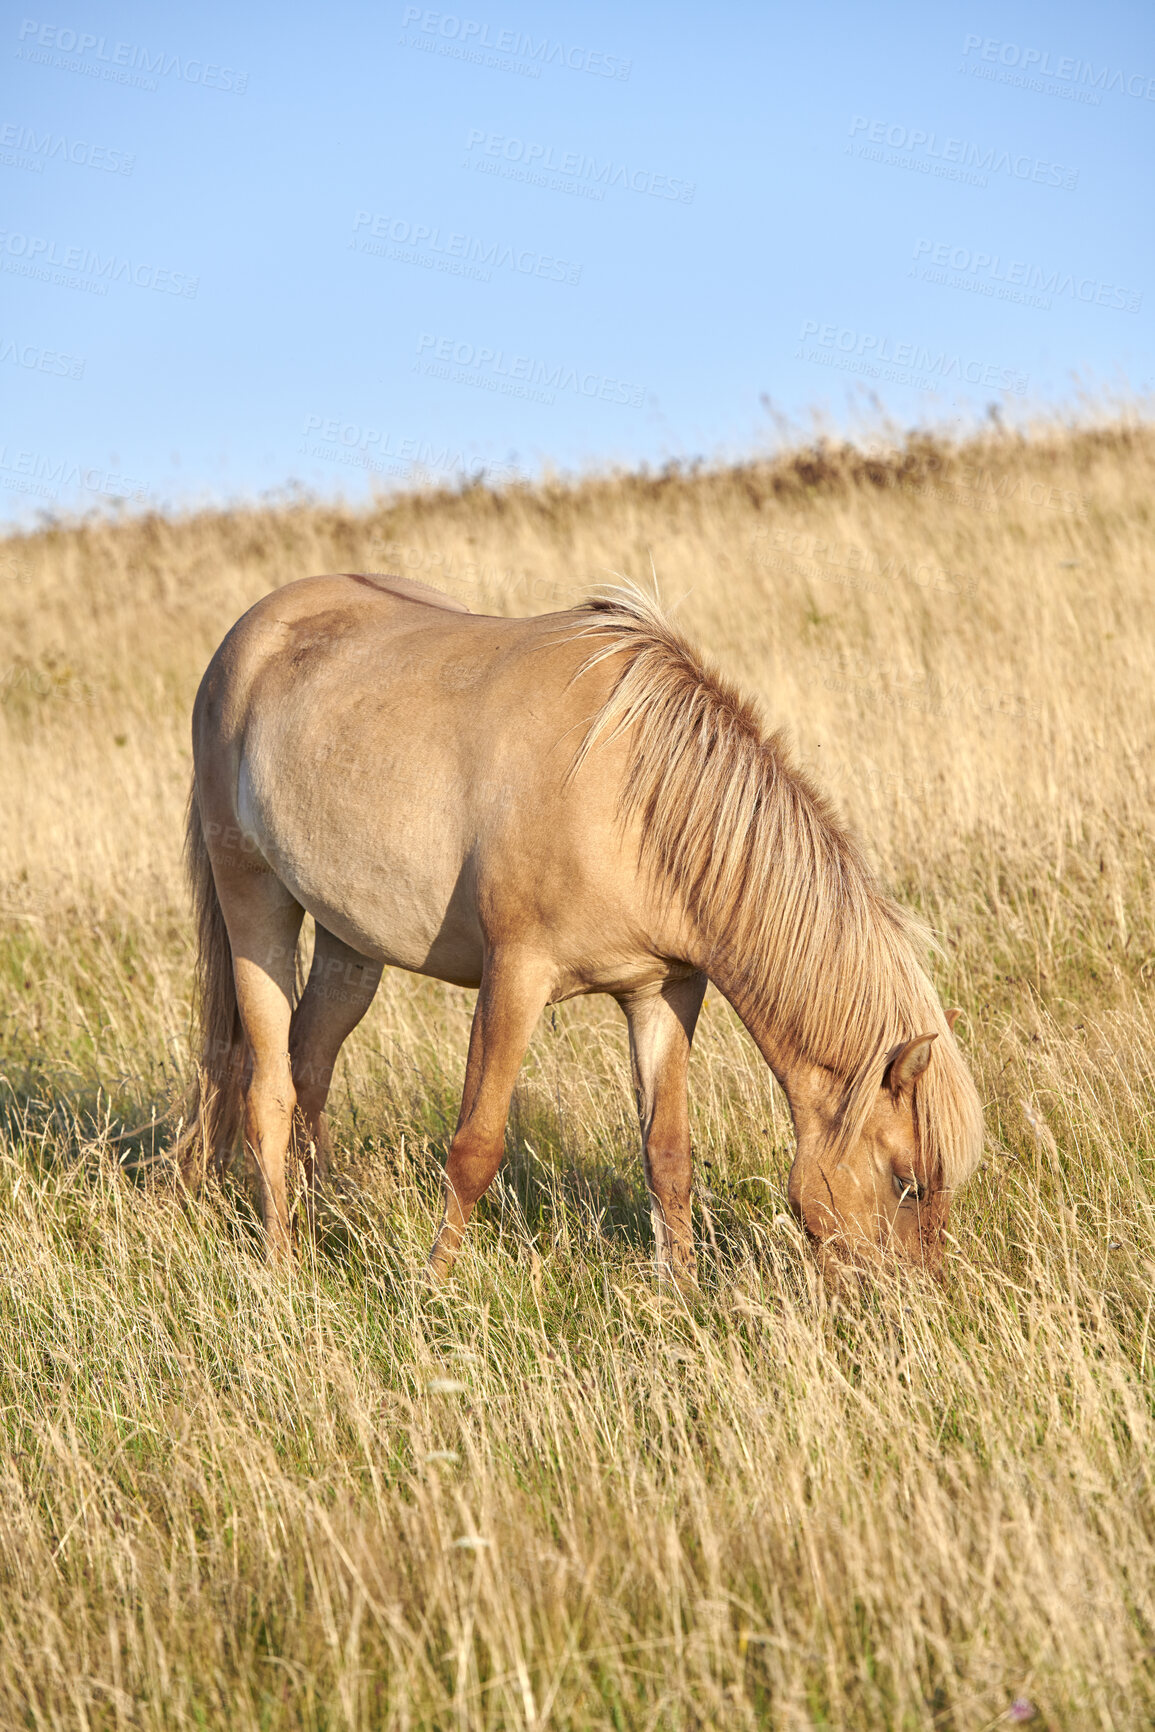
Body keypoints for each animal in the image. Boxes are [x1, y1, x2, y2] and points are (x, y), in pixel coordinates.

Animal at [178, 575, 983, 1281]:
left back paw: (323, 1225)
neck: (636, 802)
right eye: (908, 1181)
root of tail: (248, 635)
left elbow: (667, 1155)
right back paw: (283, 1262)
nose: (914, 1305)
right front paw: (431, 1290)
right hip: (254, 902)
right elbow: (475, 1147)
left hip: (350, 939)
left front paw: (682, 1295)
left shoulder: (663, 992)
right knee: (268, 1088)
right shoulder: (514, 977)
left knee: (312, 1064)